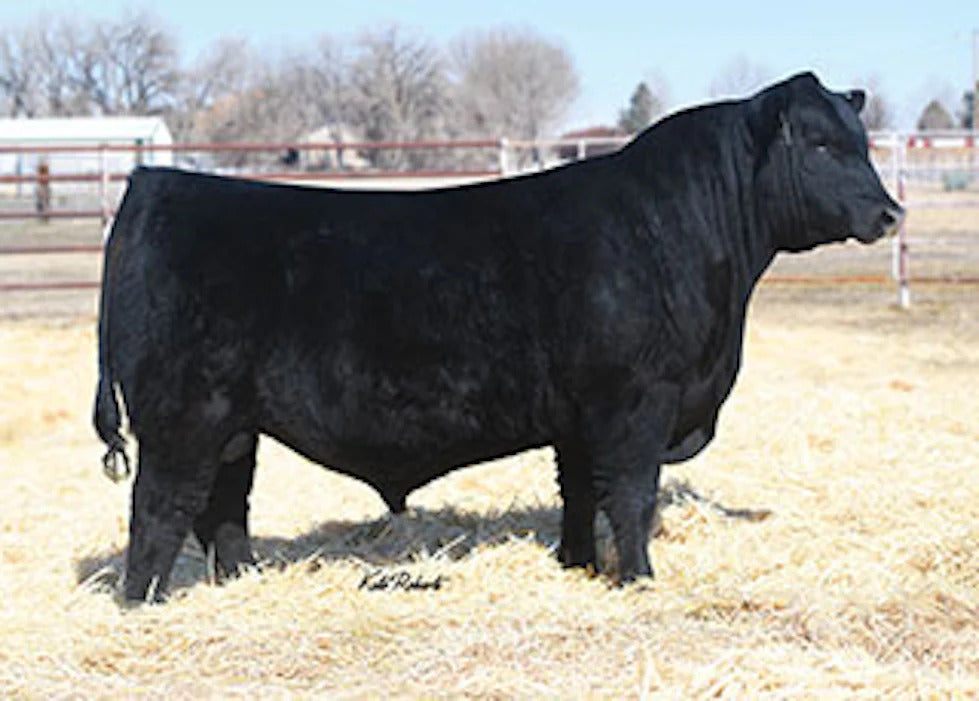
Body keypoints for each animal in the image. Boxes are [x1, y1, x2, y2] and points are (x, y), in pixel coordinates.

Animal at [94, 72, 903, 602]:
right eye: (821, 144)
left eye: (862, 140)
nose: (891, 213)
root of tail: (152, 184)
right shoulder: (636, 400)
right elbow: (631, 493)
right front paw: (639, 581)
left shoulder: (580, 413)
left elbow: (579, 491)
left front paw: (578, 565)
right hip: (181, 416)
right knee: (159, 507)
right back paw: (142, 603)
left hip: (233, 425)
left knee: (223, 507)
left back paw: (243, 583)